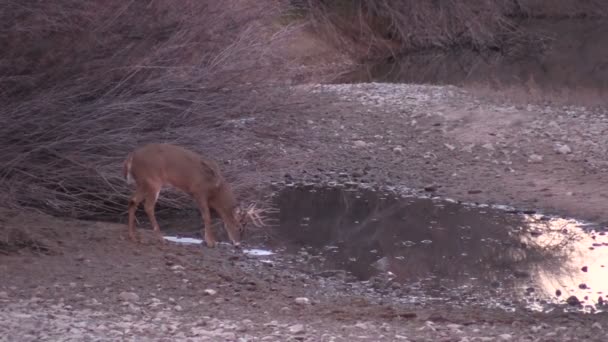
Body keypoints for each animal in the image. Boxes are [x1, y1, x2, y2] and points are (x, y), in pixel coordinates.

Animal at [122, 143, 264, 247]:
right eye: (239, 227)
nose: (238, 244)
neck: (216, 189)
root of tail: (131, 158)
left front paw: (208, 240)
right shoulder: (198, 191)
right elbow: (206, 216)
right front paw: (210, 242)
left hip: (143, 183)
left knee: (132, 201)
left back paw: (132, 236)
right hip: (153, 181)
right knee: (148, 206)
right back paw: (161, 239)